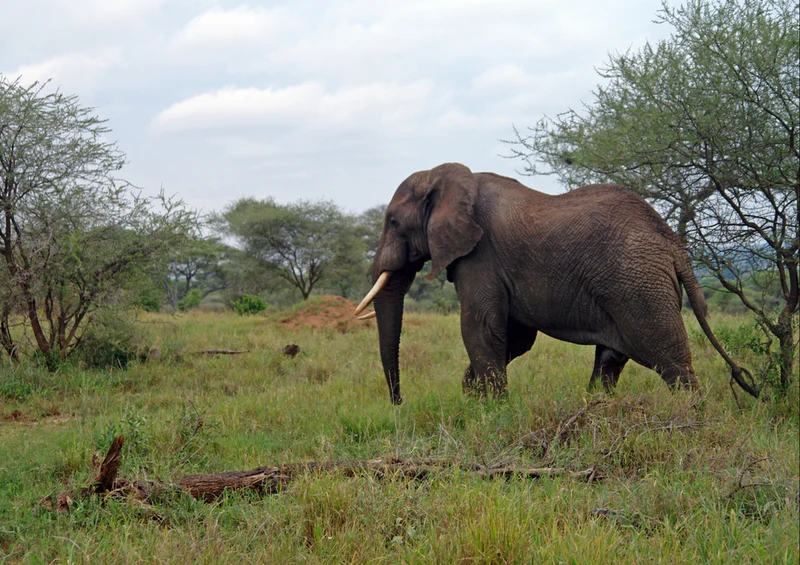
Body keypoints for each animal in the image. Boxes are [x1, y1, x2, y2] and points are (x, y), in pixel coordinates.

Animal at [354, 162, 757, 405]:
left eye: (393, 222)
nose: (399, 403)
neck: (447, 177)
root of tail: (674, 245)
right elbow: (514, 337)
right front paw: (473, 396)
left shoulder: (481, 255)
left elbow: (481, 328)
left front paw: (490, 410)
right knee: (611, 359)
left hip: (640, 285)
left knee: (672, 363)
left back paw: (692, 418)